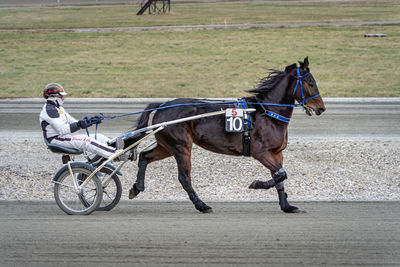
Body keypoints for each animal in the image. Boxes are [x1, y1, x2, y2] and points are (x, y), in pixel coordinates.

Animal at [126, 57, 326, 215]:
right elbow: (281, 174)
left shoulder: (276, 152)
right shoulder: (260, 152)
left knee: (144, 156)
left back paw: (136, 188)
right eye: (309, 81)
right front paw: (256, 184)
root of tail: (163, 105)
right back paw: (201, 205)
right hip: (181, 146)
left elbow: (280, 177)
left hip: (167, 146)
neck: (267, 112)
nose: (321, 108)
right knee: (184, 177)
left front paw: (287, 206)